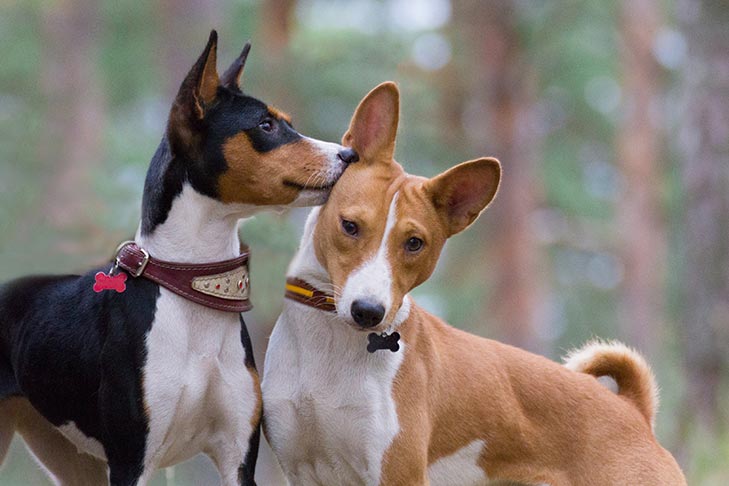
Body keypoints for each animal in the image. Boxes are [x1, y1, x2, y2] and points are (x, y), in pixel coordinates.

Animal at [0, 32, 356, 484]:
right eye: (266, 125)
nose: (350, 156)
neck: (190, 284)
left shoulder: (238, 456)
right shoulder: (131, 460)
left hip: (69, 456)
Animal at [258, 83, 684, 486]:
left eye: (415, 243)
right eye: (349, 225)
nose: (368, 312)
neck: (327, 349)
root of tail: (633, 409)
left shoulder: (398, 473)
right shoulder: (301, 469)